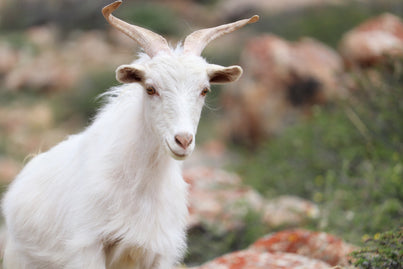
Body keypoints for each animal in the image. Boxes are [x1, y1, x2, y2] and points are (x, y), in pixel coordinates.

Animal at [1, 2, 258, 268]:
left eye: (205, 90)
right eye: (150, 88)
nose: (183, 140)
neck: (142, 184)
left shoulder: (159, 252)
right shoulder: (87, 245)